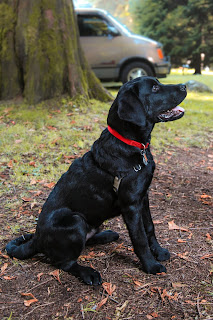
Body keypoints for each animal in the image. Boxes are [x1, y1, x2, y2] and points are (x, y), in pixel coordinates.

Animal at [5, 77, 186, 284]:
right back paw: (89, 273)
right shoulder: (131, 205)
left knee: (86, 241)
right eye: (155, 88)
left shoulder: (143, 197)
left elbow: (149, 227)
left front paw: (159, 252)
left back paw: (106, 235)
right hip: (75, 221)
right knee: (64, 263)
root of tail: (37, 239)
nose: (185, 85)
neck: (131, 145)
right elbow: (139, 238)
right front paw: (151, 265)